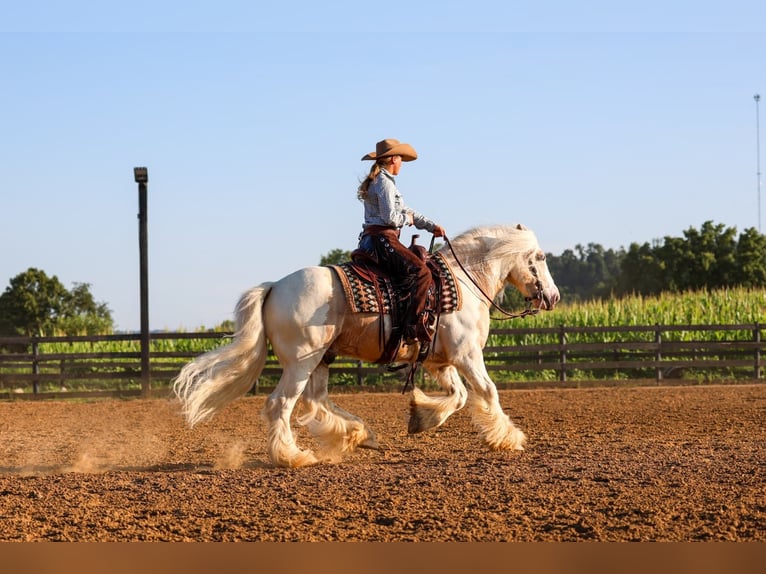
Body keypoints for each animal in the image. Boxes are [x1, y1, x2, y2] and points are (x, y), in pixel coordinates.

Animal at [173, 224, 560, 468]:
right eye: (540, 257)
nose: (554, 297)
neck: (465, 281)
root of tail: (274, 287)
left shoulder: (440, 361)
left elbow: (460, 396)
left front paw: (420, 417)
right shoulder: (467, 355)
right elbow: (487, 391)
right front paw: (509, 438)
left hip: (321, 360)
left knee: (316, 401)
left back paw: (358, 435)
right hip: (301, 362)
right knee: (281, 404)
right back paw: (292, 457)